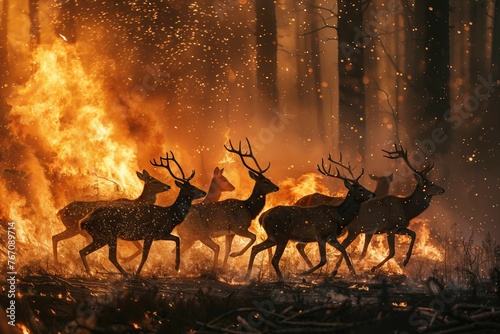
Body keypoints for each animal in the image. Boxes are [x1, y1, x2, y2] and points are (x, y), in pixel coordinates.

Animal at [175, 138, 278, 268]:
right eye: (265, 181)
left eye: (269, 179)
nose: (277, 187)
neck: (249, 209)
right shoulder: (239, 227)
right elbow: (253, 237)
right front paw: (235, 254)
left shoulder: (229, 233)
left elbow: (227, 250)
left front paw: (225, 265)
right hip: (198, 234)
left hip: (190, 238)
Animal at [246, 154, 376, 282]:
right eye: (360, 189)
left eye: (362, 186)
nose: (373, 194)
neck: (340, 217)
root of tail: (263, 216)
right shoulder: (321, 235)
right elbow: (323, 260)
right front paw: (304, 273)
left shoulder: (331, 237)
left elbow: (344, 251)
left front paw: (354, 274)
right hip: (282, 234)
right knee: (274, 259)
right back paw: (282, 279)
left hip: (273, 237)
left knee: (255, 248)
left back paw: (248, 275)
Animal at [330, 142, 444, 276]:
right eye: (430, 184)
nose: (442, 190)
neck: (407, 209)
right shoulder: (391, 227)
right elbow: (392, 252)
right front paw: (373, 268)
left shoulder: (399, 227)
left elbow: (414, 234)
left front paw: (406, 260)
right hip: (355, 229)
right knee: (343, 245)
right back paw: (337, 269)